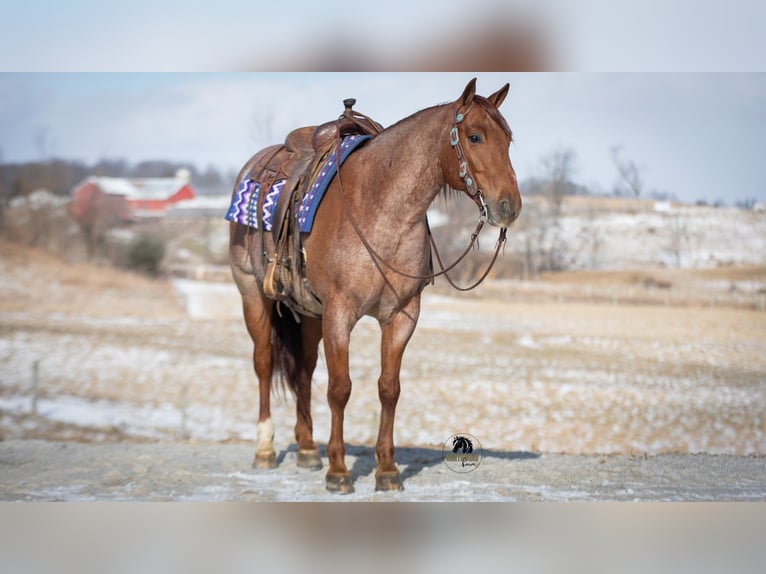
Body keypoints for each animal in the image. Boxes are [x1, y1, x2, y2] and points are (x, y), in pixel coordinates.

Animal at [229, 78, 521, 493]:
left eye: (508, 139)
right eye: (475, 136)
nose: (509, 206)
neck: (381, 209)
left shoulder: (401, 317)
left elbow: (388, 388)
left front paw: (386, 470)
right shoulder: (340, 313)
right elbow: (340, 388)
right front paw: (338, 471)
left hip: (309, 313)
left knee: (303, 370)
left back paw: (307, 449)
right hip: (253, 295)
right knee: (265, 362)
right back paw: (266, 450)